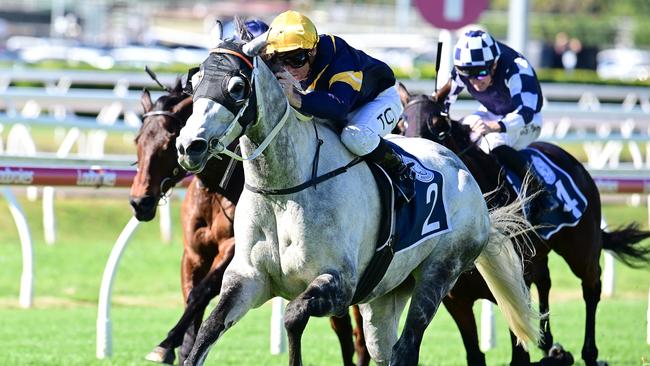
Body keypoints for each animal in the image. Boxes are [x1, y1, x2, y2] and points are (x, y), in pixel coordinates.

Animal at [129, 80, 368, 366]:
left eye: (167, 141)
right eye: (138, 140)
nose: (140, 202)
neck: (218, 189)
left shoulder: (233, 249)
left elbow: (201, 292)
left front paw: (166, 344)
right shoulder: (194, 253)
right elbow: (192, 295)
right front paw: (183, 348)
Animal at [394, 83, 648, 366]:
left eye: (439, 124)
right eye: (401, 123)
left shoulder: (515, 287)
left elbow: (519, 355)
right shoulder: (455, 298)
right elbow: (475, 354)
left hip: (582, 249)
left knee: (591, 287)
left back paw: (589, 353)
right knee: (546, 281)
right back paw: (549, 343)